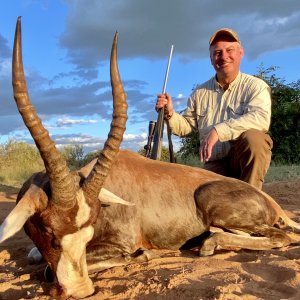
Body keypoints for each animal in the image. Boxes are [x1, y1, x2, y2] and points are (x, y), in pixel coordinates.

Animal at [0, 17, 300, 298]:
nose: (82, 290)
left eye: (87, 232)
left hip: (215, 203)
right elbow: (34, 256)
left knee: (280, 235)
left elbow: (52, 270)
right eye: (49, 232)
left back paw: (208, 244)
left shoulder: (122, 243)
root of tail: (271, 202)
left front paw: (144, 255)